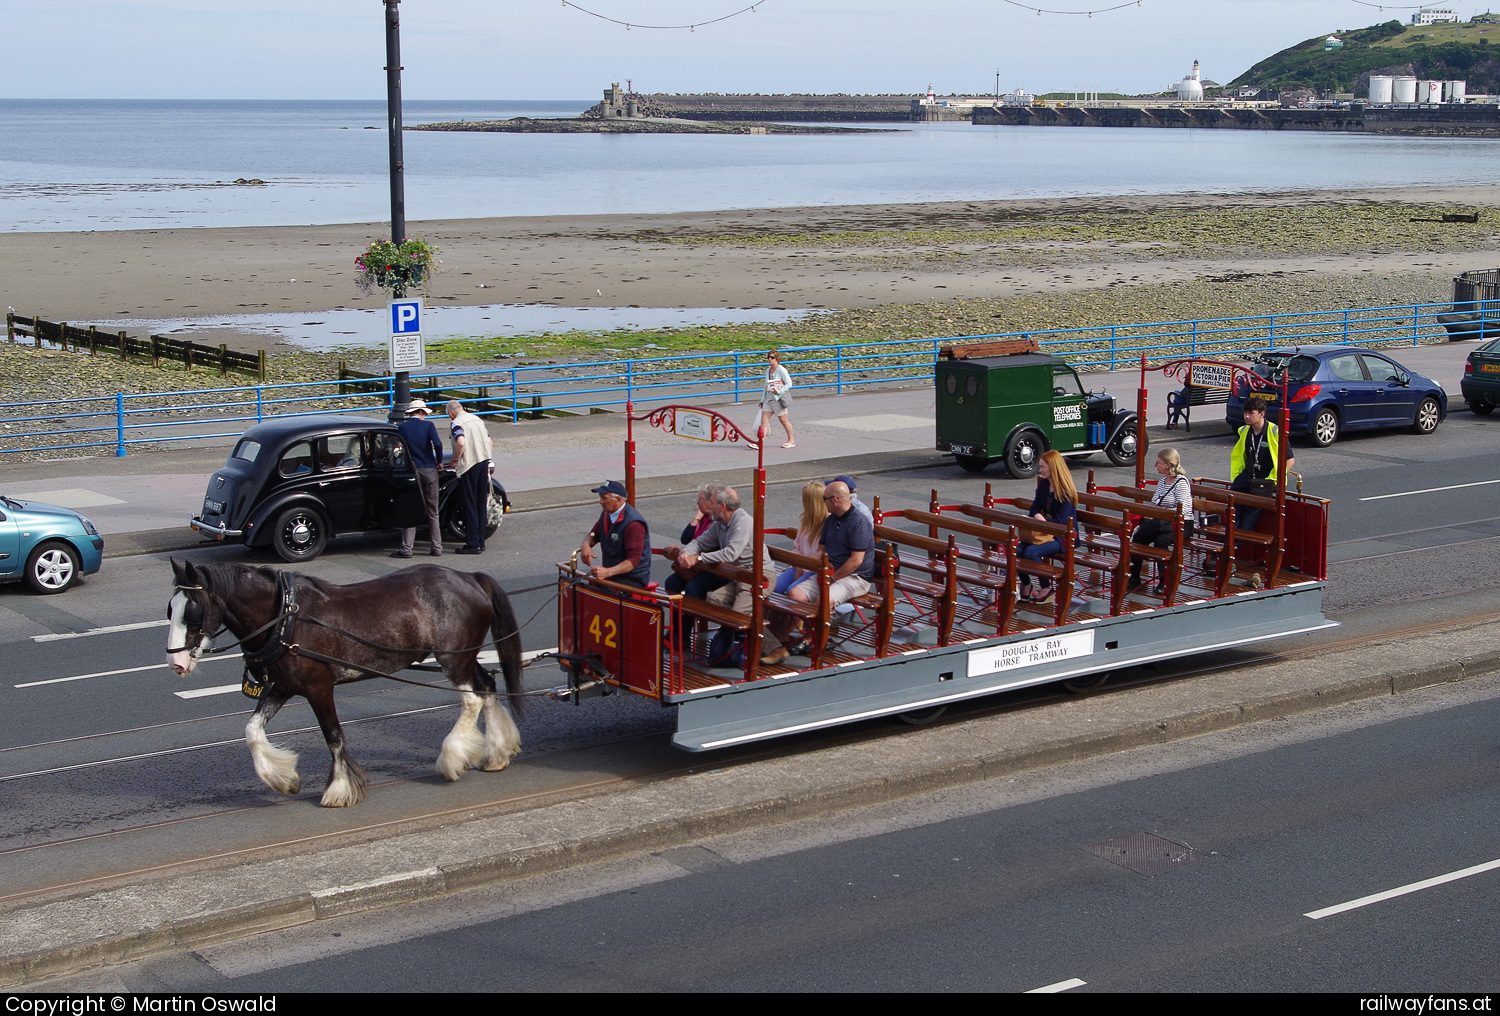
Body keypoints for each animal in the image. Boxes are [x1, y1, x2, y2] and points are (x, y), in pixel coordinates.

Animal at [165, 558, 522, 804]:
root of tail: (469, 578)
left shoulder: (318, 688)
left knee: (472, 698)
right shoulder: (283, 687)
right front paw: (282, 779)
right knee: (487, 687)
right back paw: (496, 753)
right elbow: (252, 731)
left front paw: (339, 788)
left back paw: (452, 757)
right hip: (465, 658)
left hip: (453, 659)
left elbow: (334, 736)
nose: (176, 663)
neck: (285, 617)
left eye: (192, 611)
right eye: (170, 609)